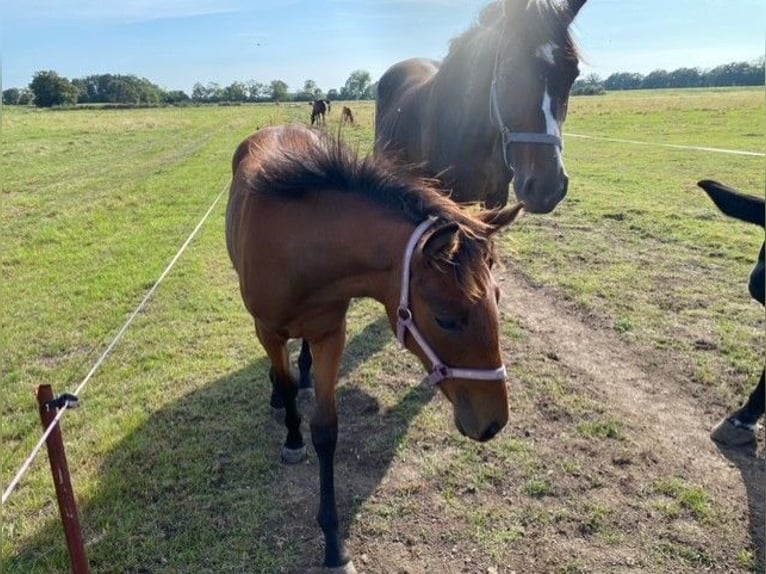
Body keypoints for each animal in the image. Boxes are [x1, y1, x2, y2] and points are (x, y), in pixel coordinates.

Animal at [226, 125, 528, 572]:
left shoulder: (331, 333)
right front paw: (293, 437)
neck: (299, 249)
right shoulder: (268, 331)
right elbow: (289, 391)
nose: (494, 422)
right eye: (445, 318)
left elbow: (326, 430)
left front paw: (334, 546)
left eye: (498, 296)